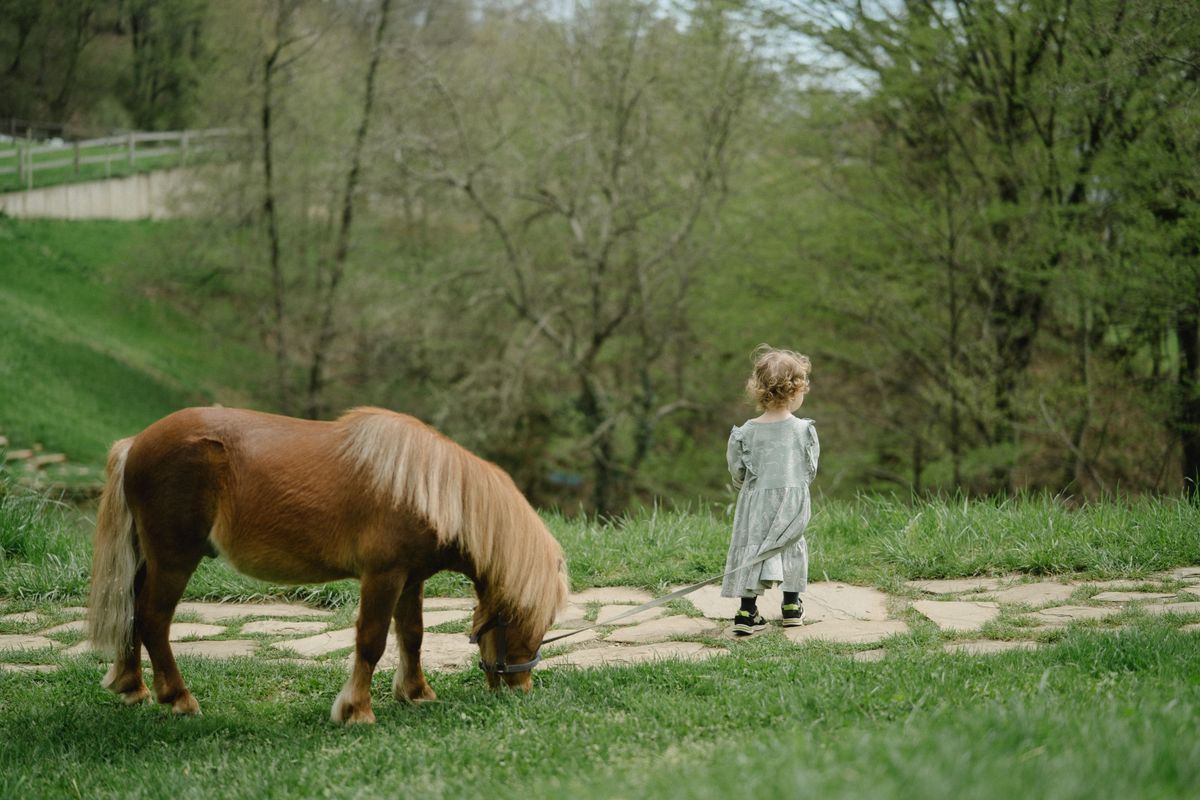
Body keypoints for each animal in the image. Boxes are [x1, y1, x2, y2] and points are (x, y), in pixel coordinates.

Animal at [87, 406, 569, 724]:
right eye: (529, 619)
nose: (521, 685)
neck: (424, 488)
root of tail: (136, 444)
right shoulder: (383, 577)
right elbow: (371, 642)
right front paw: (356, 710)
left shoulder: (410, 580)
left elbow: (412, 636)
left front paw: (416, 692)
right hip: (173, 561)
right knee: (153, 620)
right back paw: (178, 698)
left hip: (149, 560)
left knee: (131, 612)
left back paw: (133, 685)